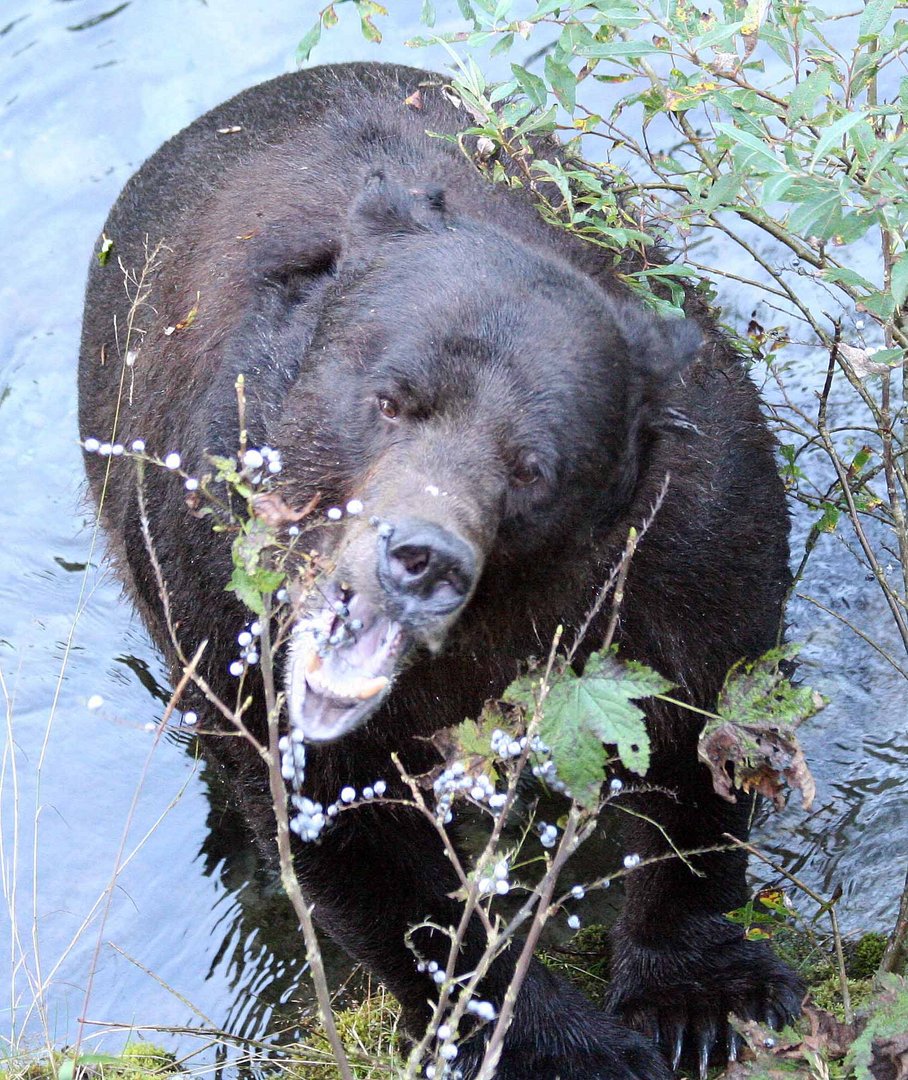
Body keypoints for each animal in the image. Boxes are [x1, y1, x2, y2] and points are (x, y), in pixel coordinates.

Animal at [77, 61, 798, 1080]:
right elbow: (357, 844)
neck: (495, 626)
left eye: (533, 466)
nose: (419, 557)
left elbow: (704, 726)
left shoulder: (677, 543)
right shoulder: (221, 591)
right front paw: (564, 1043)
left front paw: (696, 996)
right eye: (391, 397)